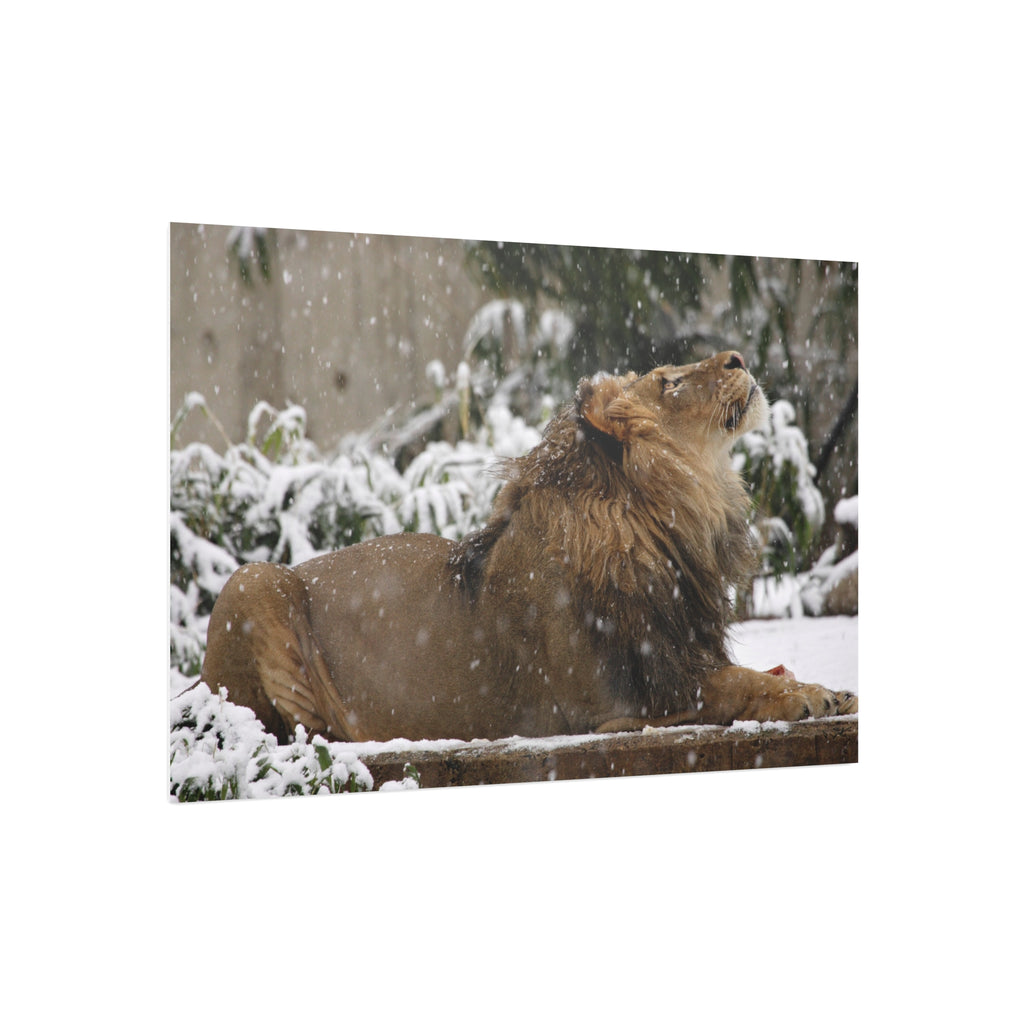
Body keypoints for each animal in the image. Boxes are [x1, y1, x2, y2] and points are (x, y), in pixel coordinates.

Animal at [199, 350, 857, 744]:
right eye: (669, 381)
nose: (738, 357)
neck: (666, 523)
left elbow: (756, 673)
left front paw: (823, 688)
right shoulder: (606, 706)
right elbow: (736, 687)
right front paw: (811, 697)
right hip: (254, 580)